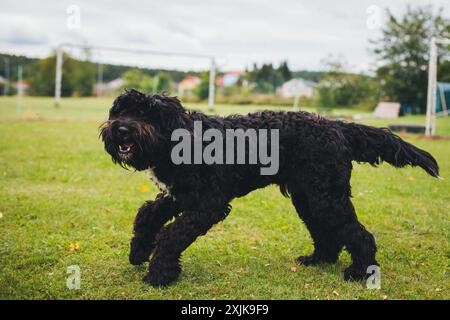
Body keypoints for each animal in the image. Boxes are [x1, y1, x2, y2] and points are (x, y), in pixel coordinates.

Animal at [101, 89, 440, 286]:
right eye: (121, 110)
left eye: (148, 113)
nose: (122, 129)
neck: (182, 137)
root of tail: (336, 126)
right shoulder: (178, 195)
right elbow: (147, 213)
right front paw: (139, 251)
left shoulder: (208, 203)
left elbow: (171, 234)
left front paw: (160, 274)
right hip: (309, 197)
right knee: (328, 234)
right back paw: (319, 259)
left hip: (326, 197)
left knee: (359, 234)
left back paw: (360, 273)